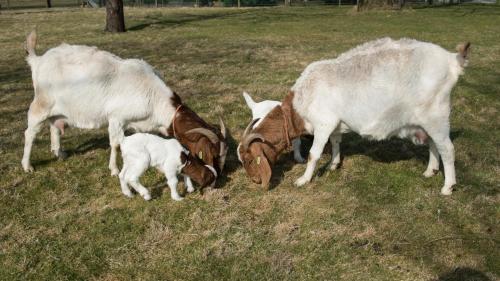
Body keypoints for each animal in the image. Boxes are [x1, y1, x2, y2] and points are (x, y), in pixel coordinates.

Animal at [240, 37, 470, 195]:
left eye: (250, 160)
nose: (254, 181)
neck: (301, 102)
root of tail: (452, 60)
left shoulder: (323, 123)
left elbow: (314, 153)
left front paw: (303, 179)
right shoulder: (334, 125)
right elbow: (335, 142)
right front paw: (333, 164)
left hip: (436, 117)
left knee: (447, 149)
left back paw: (448, 187)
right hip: (426, 122)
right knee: (433, 144)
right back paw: (430, 171)